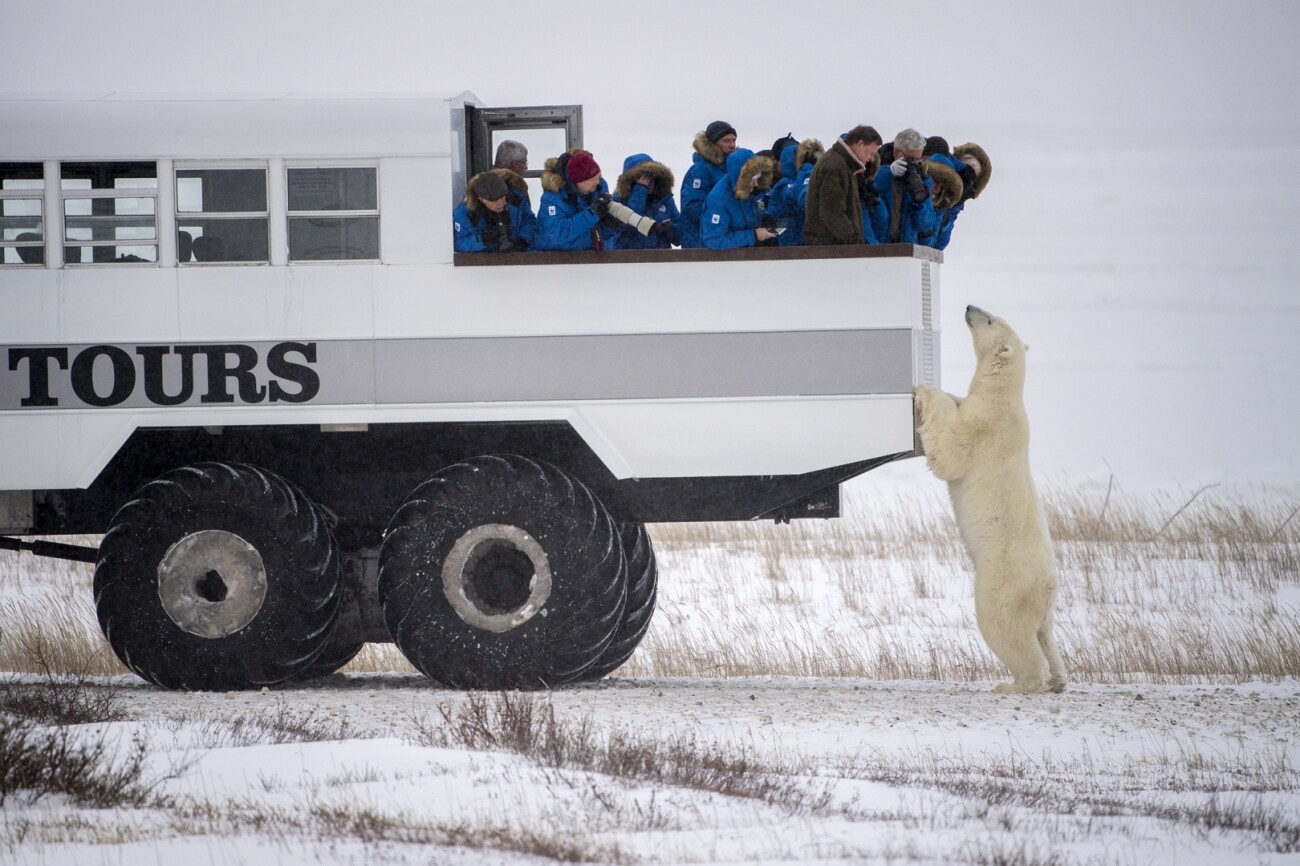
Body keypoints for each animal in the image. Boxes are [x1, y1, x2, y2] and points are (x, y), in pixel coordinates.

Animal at [913, 305, 1067, 694]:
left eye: (990, 320)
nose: (970, 307)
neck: (1003, 395)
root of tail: (1047, 587)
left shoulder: (986, 427)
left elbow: (952, 451)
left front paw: (925, 391)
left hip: (1004, 578)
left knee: (1005, 626)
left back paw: (1018, 683)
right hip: (1043, 605)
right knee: (1045, 634)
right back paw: (1058, 678)